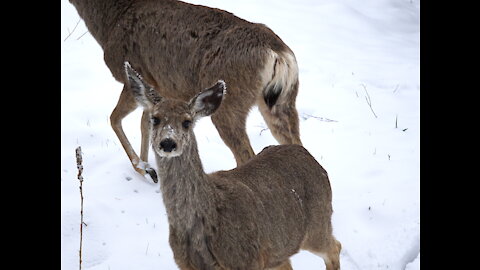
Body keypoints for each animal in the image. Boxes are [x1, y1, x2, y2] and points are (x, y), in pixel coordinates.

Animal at [68, 0, 300, 182]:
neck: (110, 22)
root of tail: (278, 54)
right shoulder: (162, 88)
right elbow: (146, 124)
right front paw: (151, 168)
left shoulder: (136, 74)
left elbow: (114, 118)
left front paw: (144, 169)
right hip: (283, 102)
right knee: (296, 143)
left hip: (230, 103)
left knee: (246, 154)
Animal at [124, 61, 342, 270]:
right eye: (155, 119)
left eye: (187, 122)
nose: (168, 143)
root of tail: (312, 160)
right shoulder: (185, 264)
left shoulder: (247, 260)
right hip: (279, 249)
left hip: (317, 225)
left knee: (335, 248)